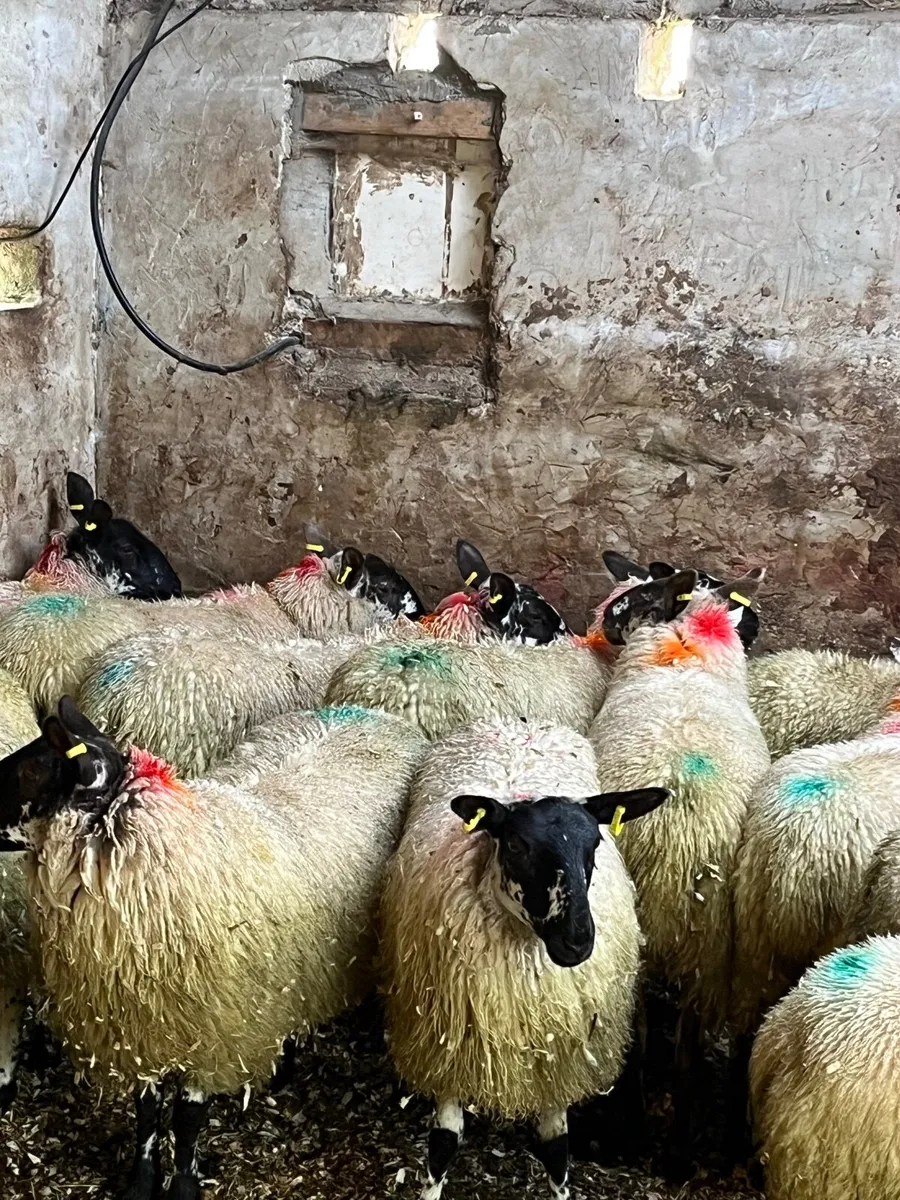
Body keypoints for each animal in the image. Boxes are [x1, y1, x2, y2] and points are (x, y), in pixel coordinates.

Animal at [0, 697, 428, 1200]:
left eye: (32, 769)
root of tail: (376, 714)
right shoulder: (141, 1024)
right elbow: (146, 1112)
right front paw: (142, 1182)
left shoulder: (213, 1028)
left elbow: (187, 1119)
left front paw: (183, 1184)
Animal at [379, 717, 668, 1200]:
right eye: (515, 845)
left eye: (595, 844)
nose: (577, 942)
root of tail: (514, 721)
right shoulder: (448, 1046)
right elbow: (443, 1144)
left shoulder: (558, 1058)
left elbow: (556, 1149)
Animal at [588, 568, 770, 1150]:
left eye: (640, 596)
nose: (604, 620)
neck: (684, 653)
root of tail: (679, 836)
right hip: (706, 943)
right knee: (685, 1042)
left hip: (661, 934)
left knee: (649, 1029)